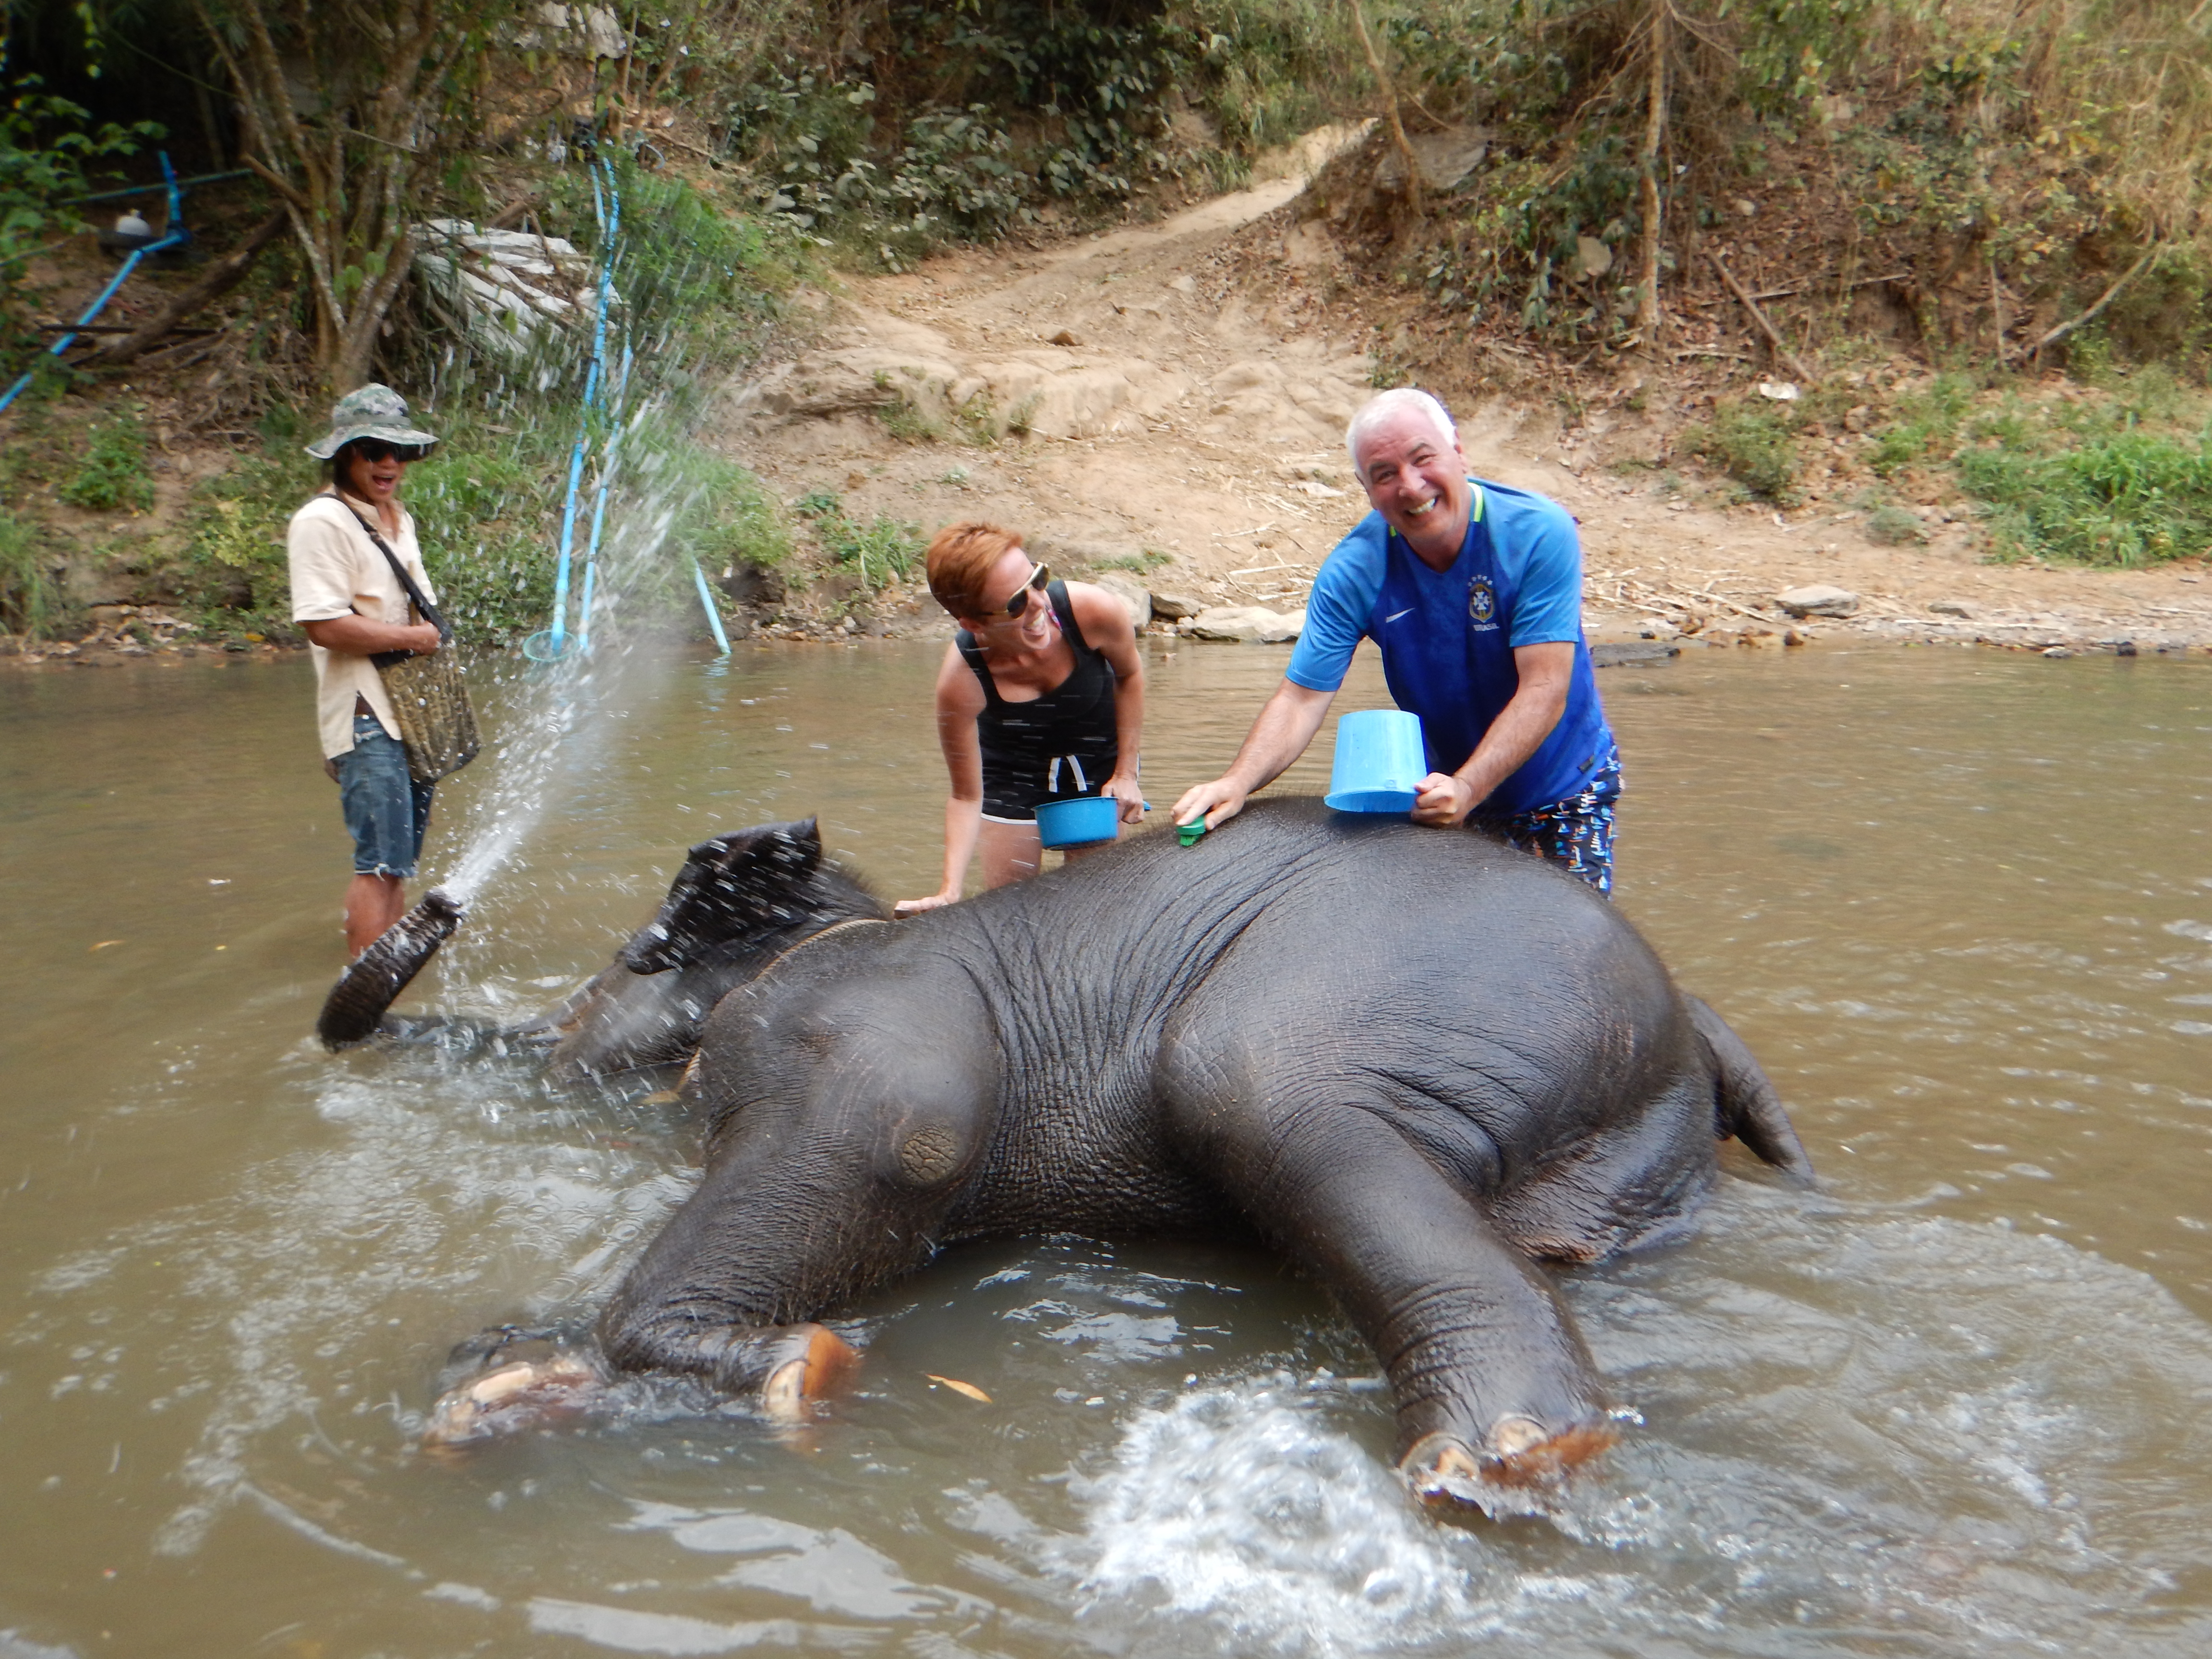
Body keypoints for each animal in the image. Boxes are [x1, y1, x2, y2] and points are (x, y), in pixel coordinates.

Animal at [418, 805, 1814, 1522]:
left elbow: (900, 1139)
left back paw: (1502, 1457)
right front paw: (497, 1380)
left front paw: (797, 1374)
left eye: (630, 956)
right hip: (1625, 1153)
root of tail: (1689, 1015)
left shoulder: (855, 1026)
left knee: (1255, 1083)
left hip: (1417, 990)